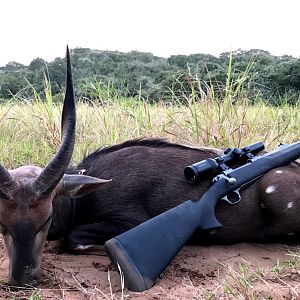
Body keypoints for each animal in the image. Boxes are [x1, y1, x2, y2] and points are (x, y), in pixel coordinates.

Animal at [0, 48, 300, 286]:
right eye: (3, 222)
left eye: (47, 219)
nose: (22, 278)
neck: (88, 191)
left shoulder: (130, 221)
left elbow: (74, 238)